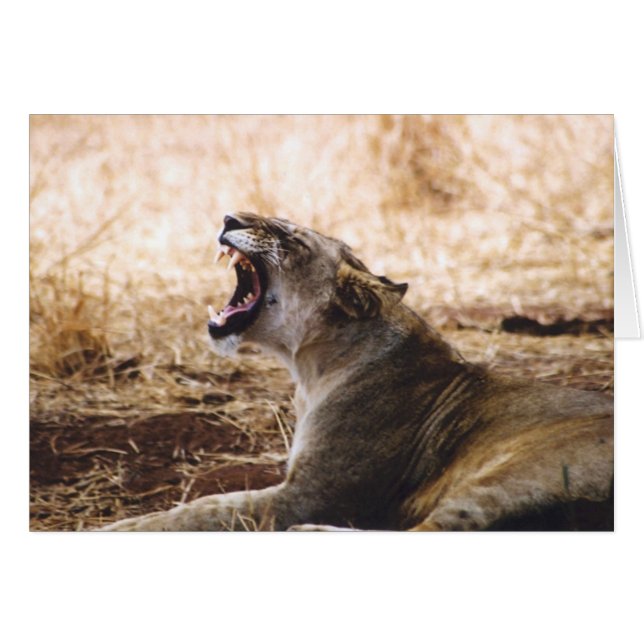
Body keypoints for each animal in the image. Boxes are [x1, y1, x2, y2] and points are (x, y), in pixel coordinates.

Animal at [102, 212, 613, 531]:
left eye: (290, 237)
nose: (229, 219)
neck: (309, 367)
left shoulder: (309, 496)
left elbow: (202, 510)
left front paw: (120, 527)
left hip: (518, 473)